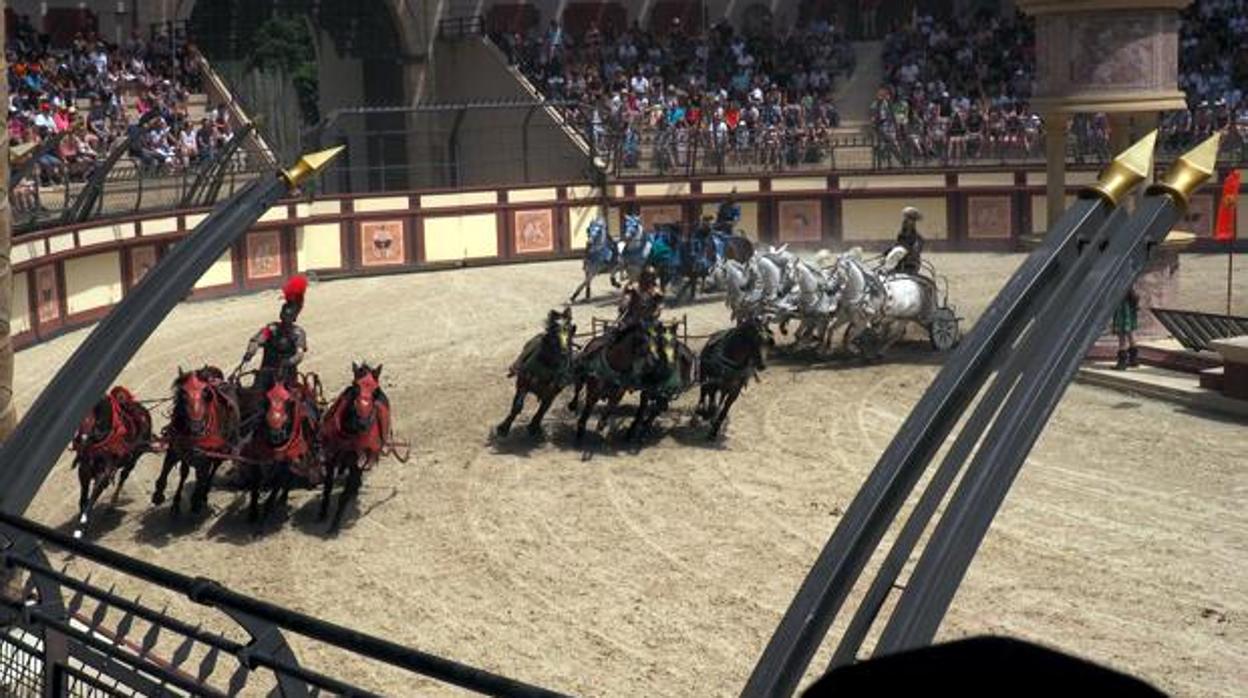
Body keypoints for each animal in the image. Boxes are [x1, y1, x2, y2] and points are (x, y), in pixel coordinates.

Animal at [71, 384, 153, 536]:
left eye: (95, 413)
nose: (80, 439)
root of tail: (144, 411)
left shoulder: (104, 474)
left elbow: (92, 499)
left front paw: (81, 528)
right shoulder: (84, 471)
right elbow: (83, 500)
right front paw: (81, 522)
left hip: (133, 459)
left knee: (123, 477)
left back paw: (112, 504)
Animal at [152, 369, 239, 516]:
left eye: (207, 393)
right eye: (182, 393)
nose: (196, 428)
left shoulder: (204, 459)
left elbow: (201, 477)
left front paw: (196, 500)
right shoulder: (175, 450)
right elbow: (166, 471)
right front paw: (158, 495)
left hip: (220, 452)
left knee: (212, 470)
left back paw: (203, 494)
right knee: (185, 473)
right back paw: (177, 502)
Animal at [316, 362, 389, 531]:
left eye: (375, 391)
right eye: (355, 387)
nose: (363, 423)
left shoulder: (357, 461)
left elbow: (344, 494)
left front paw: (334, 525)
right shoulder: (331, 456)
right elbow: (328, 485)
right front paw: (322, 513)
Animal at [494, 309, 576, 437]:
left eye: (569, 329)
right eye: (554, 330)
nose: (564, 352)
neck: (548, 365)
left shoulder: (552, 393)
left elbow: (543, 409)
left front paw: (534, 427)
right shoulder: (523, 383)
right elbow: (517, 406)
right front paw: (503, 427)